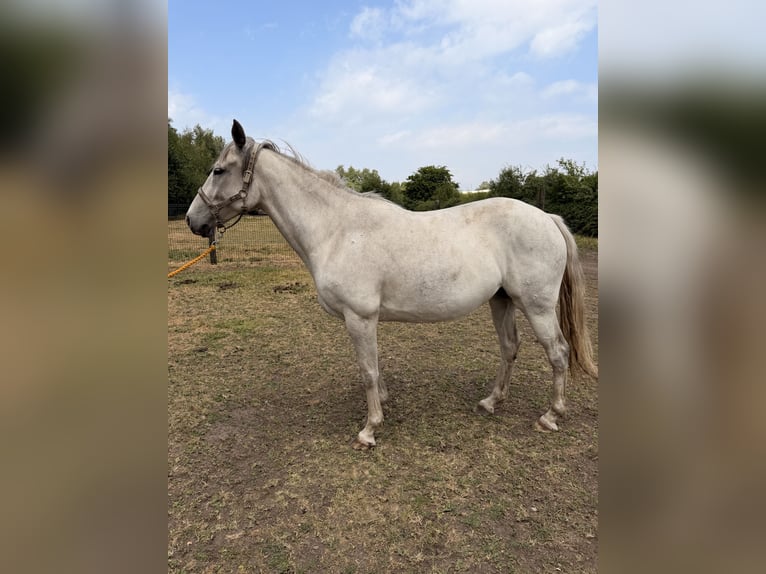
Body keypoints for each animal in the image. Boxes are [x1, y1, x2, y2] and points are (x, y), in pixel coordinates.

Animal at [186, 119, 598, 449]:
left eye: (218, 170)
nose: (193, 219)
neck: (337, 230)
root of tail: (546, 217)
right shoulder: (366, 320)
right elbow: (375, 367)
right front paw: (382, 404)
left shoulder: (359, 317)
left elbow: (367, 371)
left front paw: (369, 430)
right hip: (502, 300)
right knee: (510, 348)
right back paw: (491, 402)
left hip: (537, 306)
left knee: (558, 353)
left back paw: (551, 415)